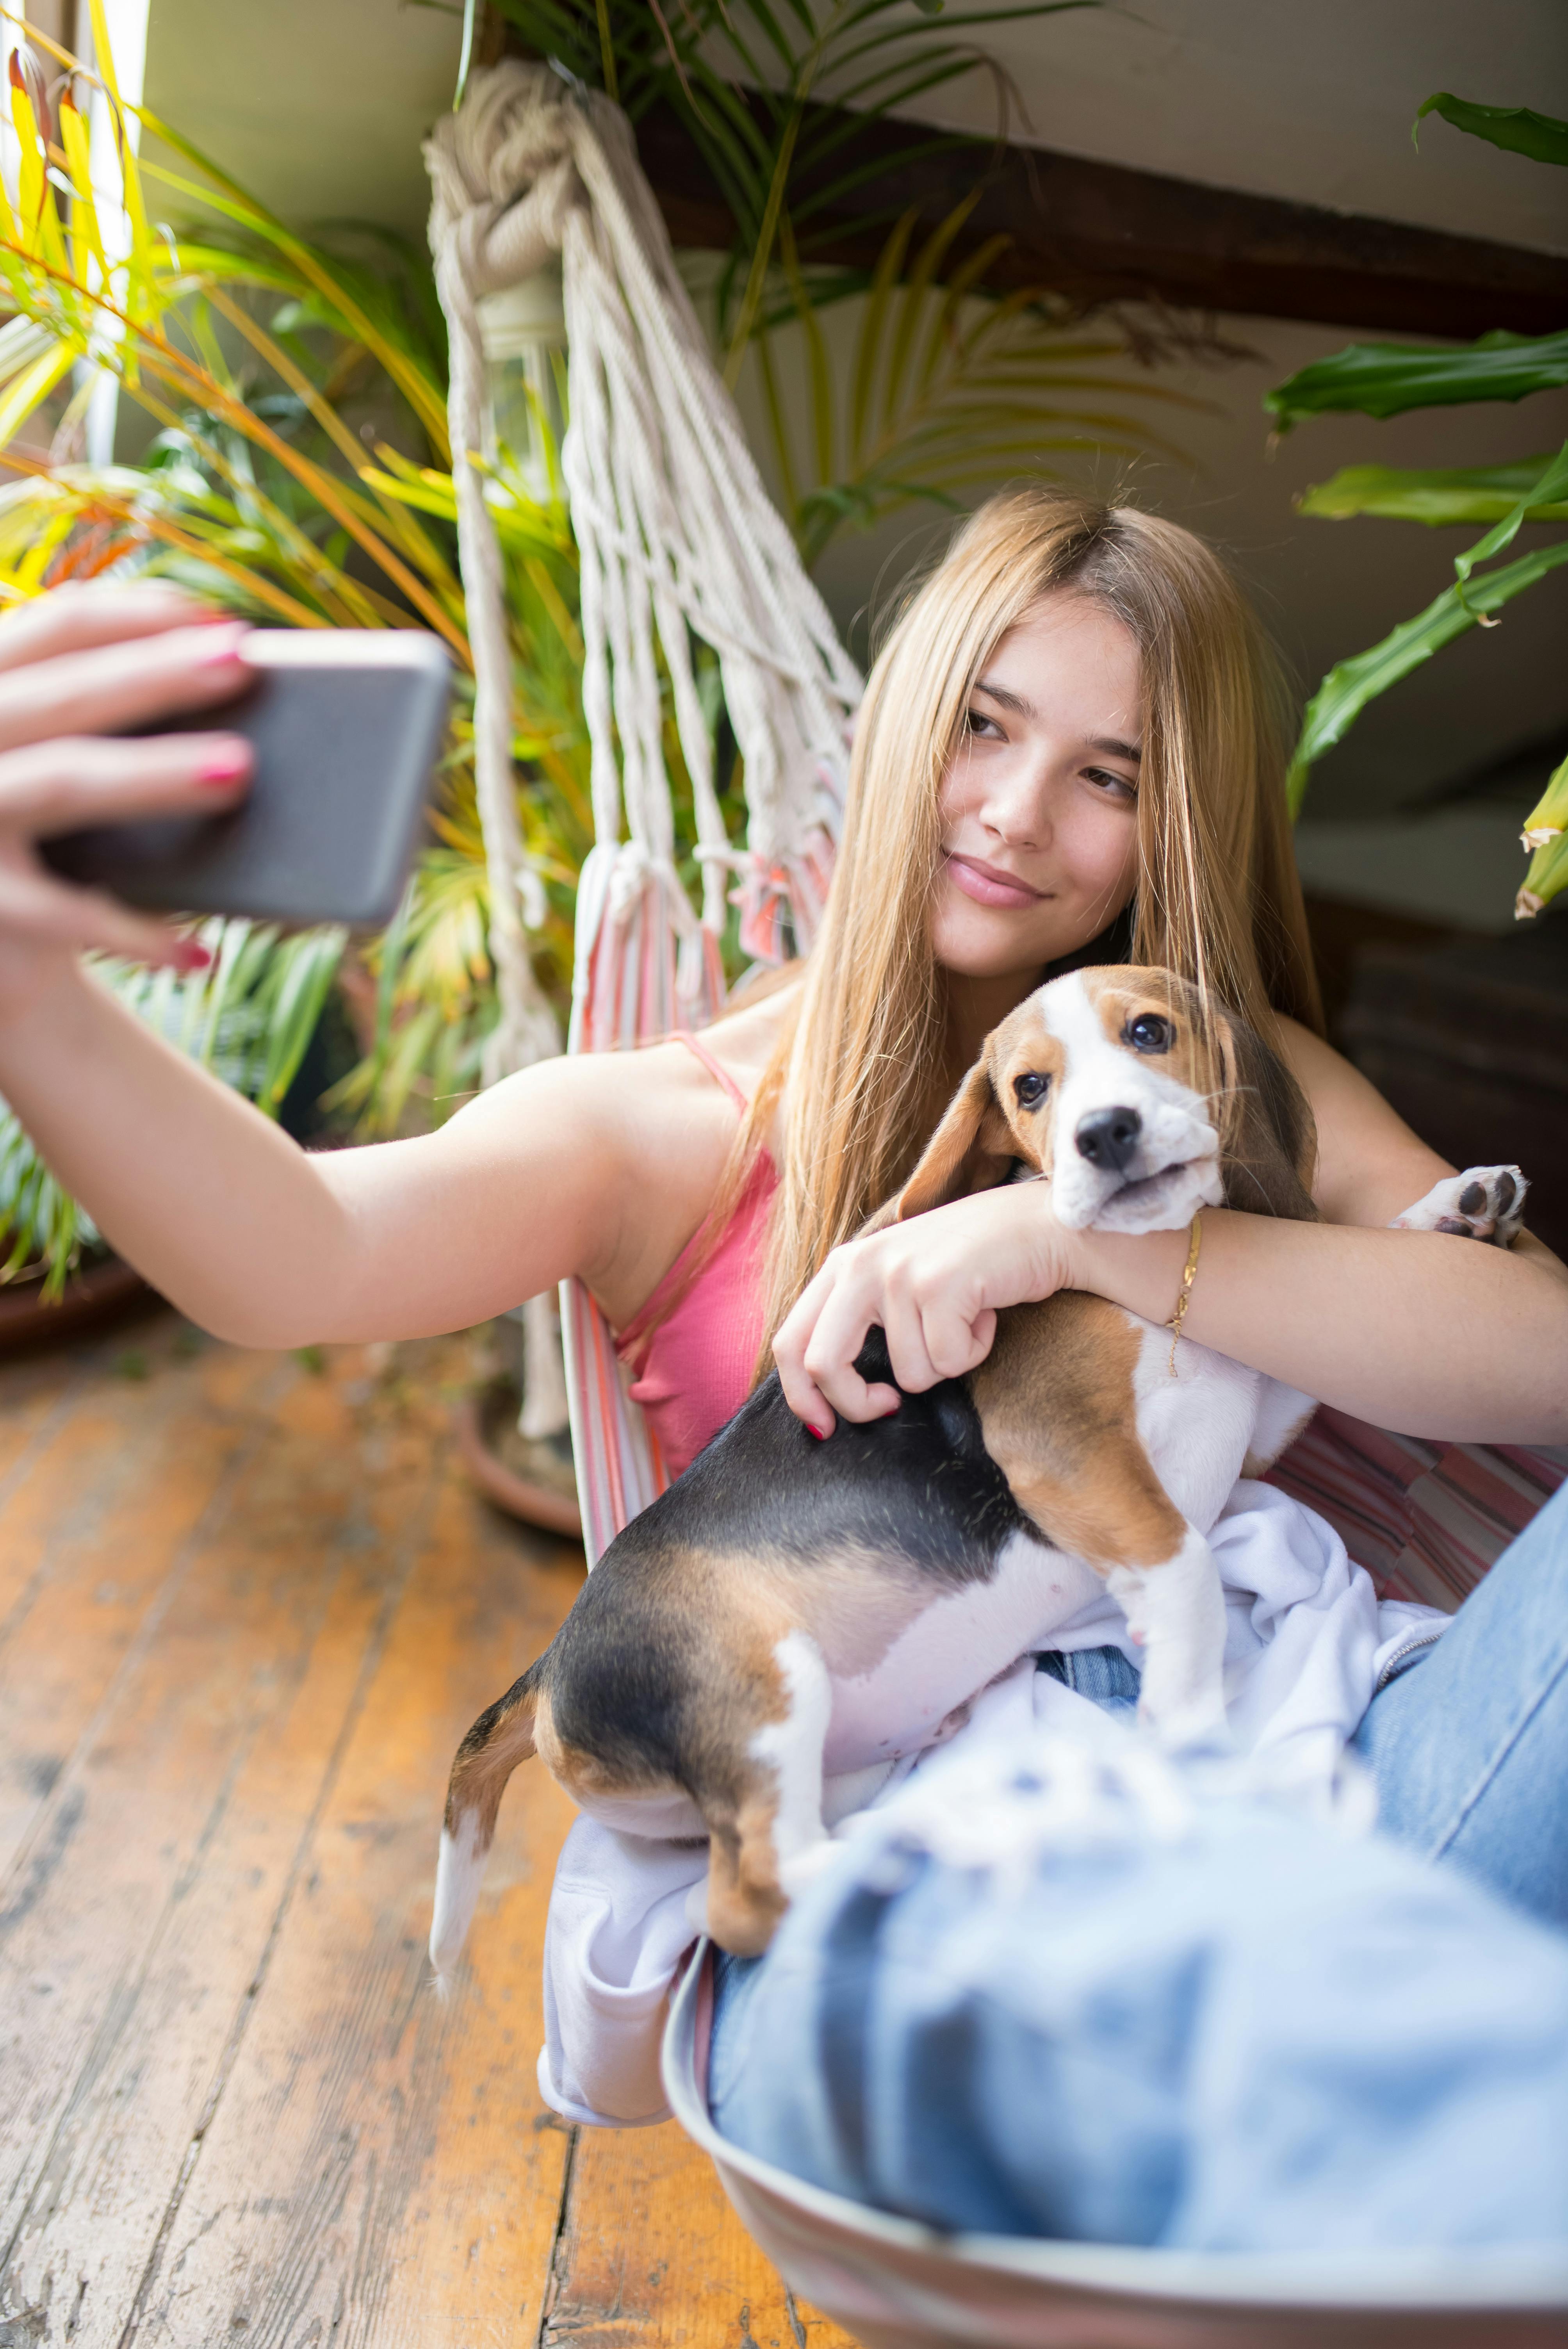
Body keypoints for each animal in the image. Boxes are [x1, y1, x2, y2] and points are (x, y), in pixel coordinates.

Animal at [429, 968, 1530, 1964]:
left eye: (1148, 1030)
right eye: (1029, 1089)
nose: (1104, 1133)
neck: (1154, 1277)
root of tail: (545, 1670)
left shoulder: (1247, 1419)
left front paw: (1455, 1208)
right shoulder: (1065, 1449)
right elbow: (1185, 1568)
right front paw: (1189, 1726)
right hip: (759, 1681)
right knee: (754, 1894)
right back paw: (956, 1833)